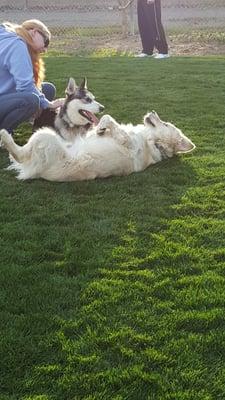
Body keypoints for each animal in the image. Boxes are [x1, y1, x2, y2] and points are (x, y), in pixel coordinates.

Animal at [0, 111, 195, 183]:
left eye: (166, 124)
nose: (152, 112)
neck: (152, 141)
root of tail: (37, 172)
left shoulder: (127, 142)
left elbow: (109, 118)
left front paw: (102, 126)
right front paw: (99, 130)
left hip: (46, 136)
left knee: (19, 154)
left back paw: (4, 136)